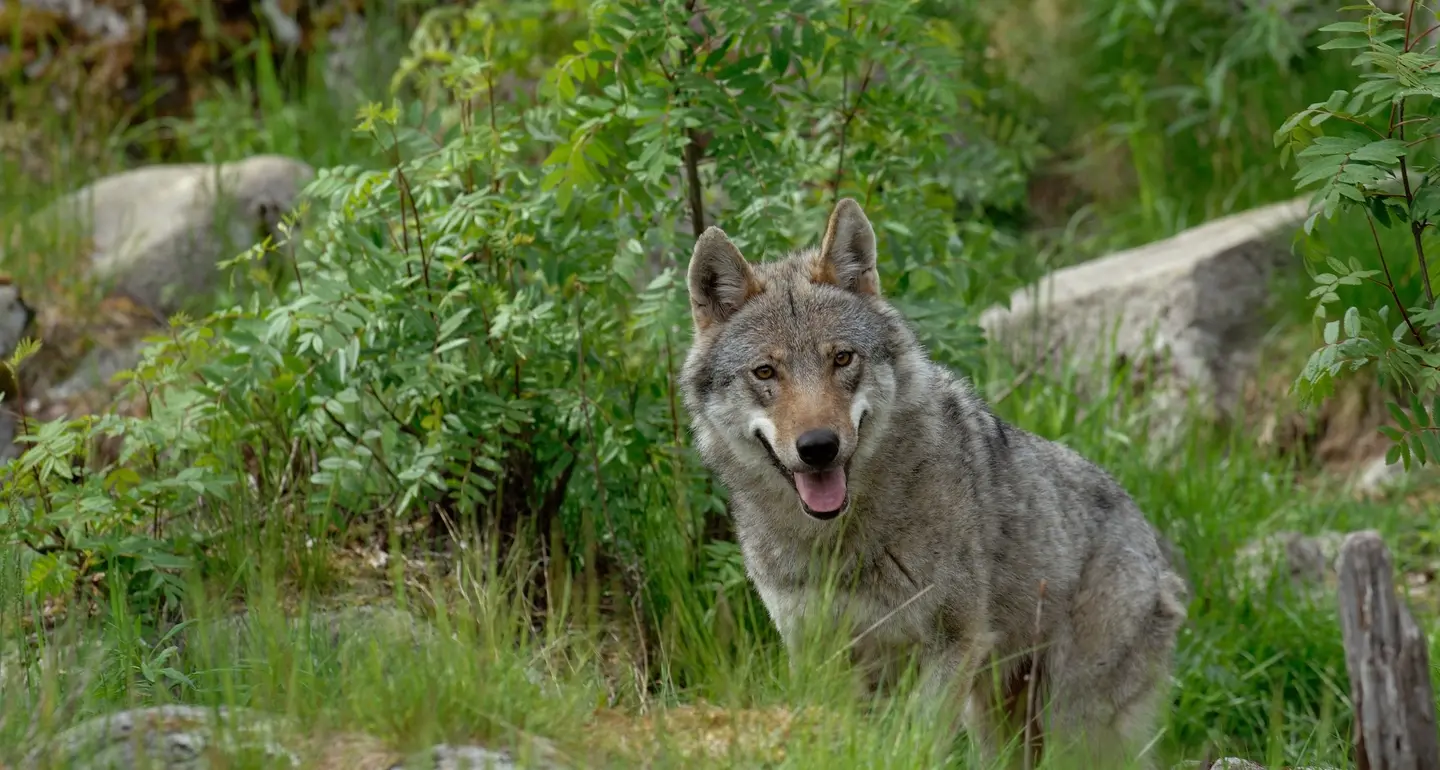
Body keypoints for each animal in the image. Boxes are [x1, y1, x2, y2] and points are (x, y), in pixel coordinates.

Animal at [679, 199, 1189, 769]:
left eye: (842, 358)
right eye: (765, 372)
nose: (819, 447)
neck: (838, 545)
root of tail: (1150, 538)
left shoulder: (954, 644)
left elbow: (915, 744)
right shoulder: (817, 657)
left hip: (1071, 728)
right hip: (998, 723)